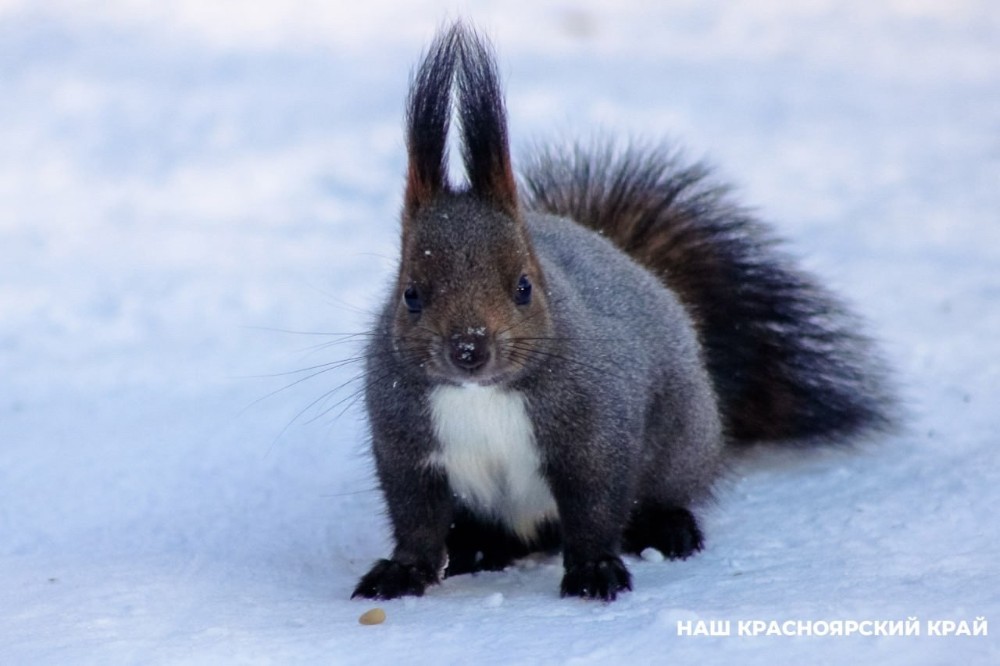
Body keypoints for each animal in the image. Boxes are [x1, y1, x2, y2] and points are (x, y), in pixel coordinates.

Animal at [350, 22, 892, 600]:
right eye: (410, 294)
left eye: (524, 287)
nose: (469, 348)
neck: (482, 395)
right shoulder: (407, 445)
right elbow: (416, 518)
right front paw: (403, 570)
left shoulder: (596, 429)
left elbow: (595, 505)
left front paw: (593, 569)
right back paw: (477, 547)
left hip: (680, 442)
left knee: (658, 494)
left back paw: (667, 527)